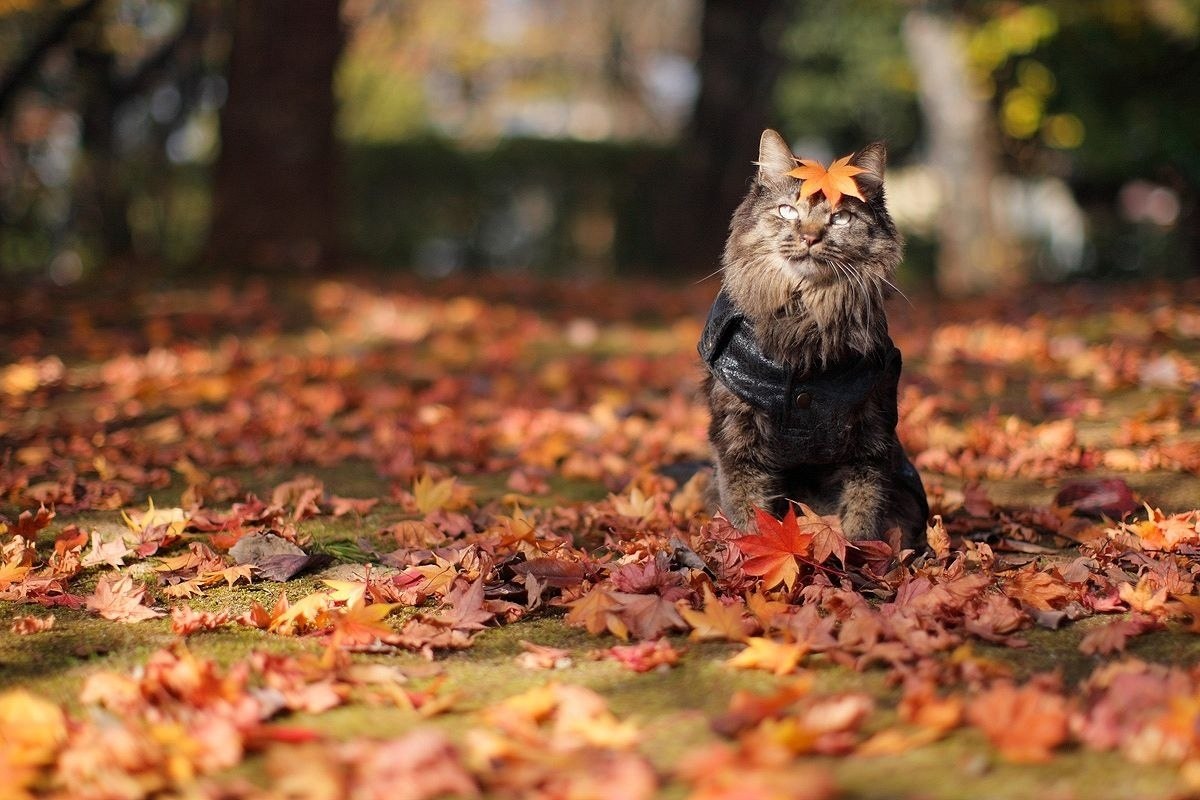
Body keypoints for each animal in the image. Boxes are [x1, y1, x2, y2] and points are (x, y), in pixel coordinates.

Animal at [700, 128, 931, 551]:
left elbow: (862, 513)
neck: (804, 316)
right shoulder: (737, 441)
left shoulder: (871, 438)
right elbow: (747, 514)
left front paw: (862, 561)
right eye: (788, 211)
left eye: (840, 218)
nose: (809, 237)